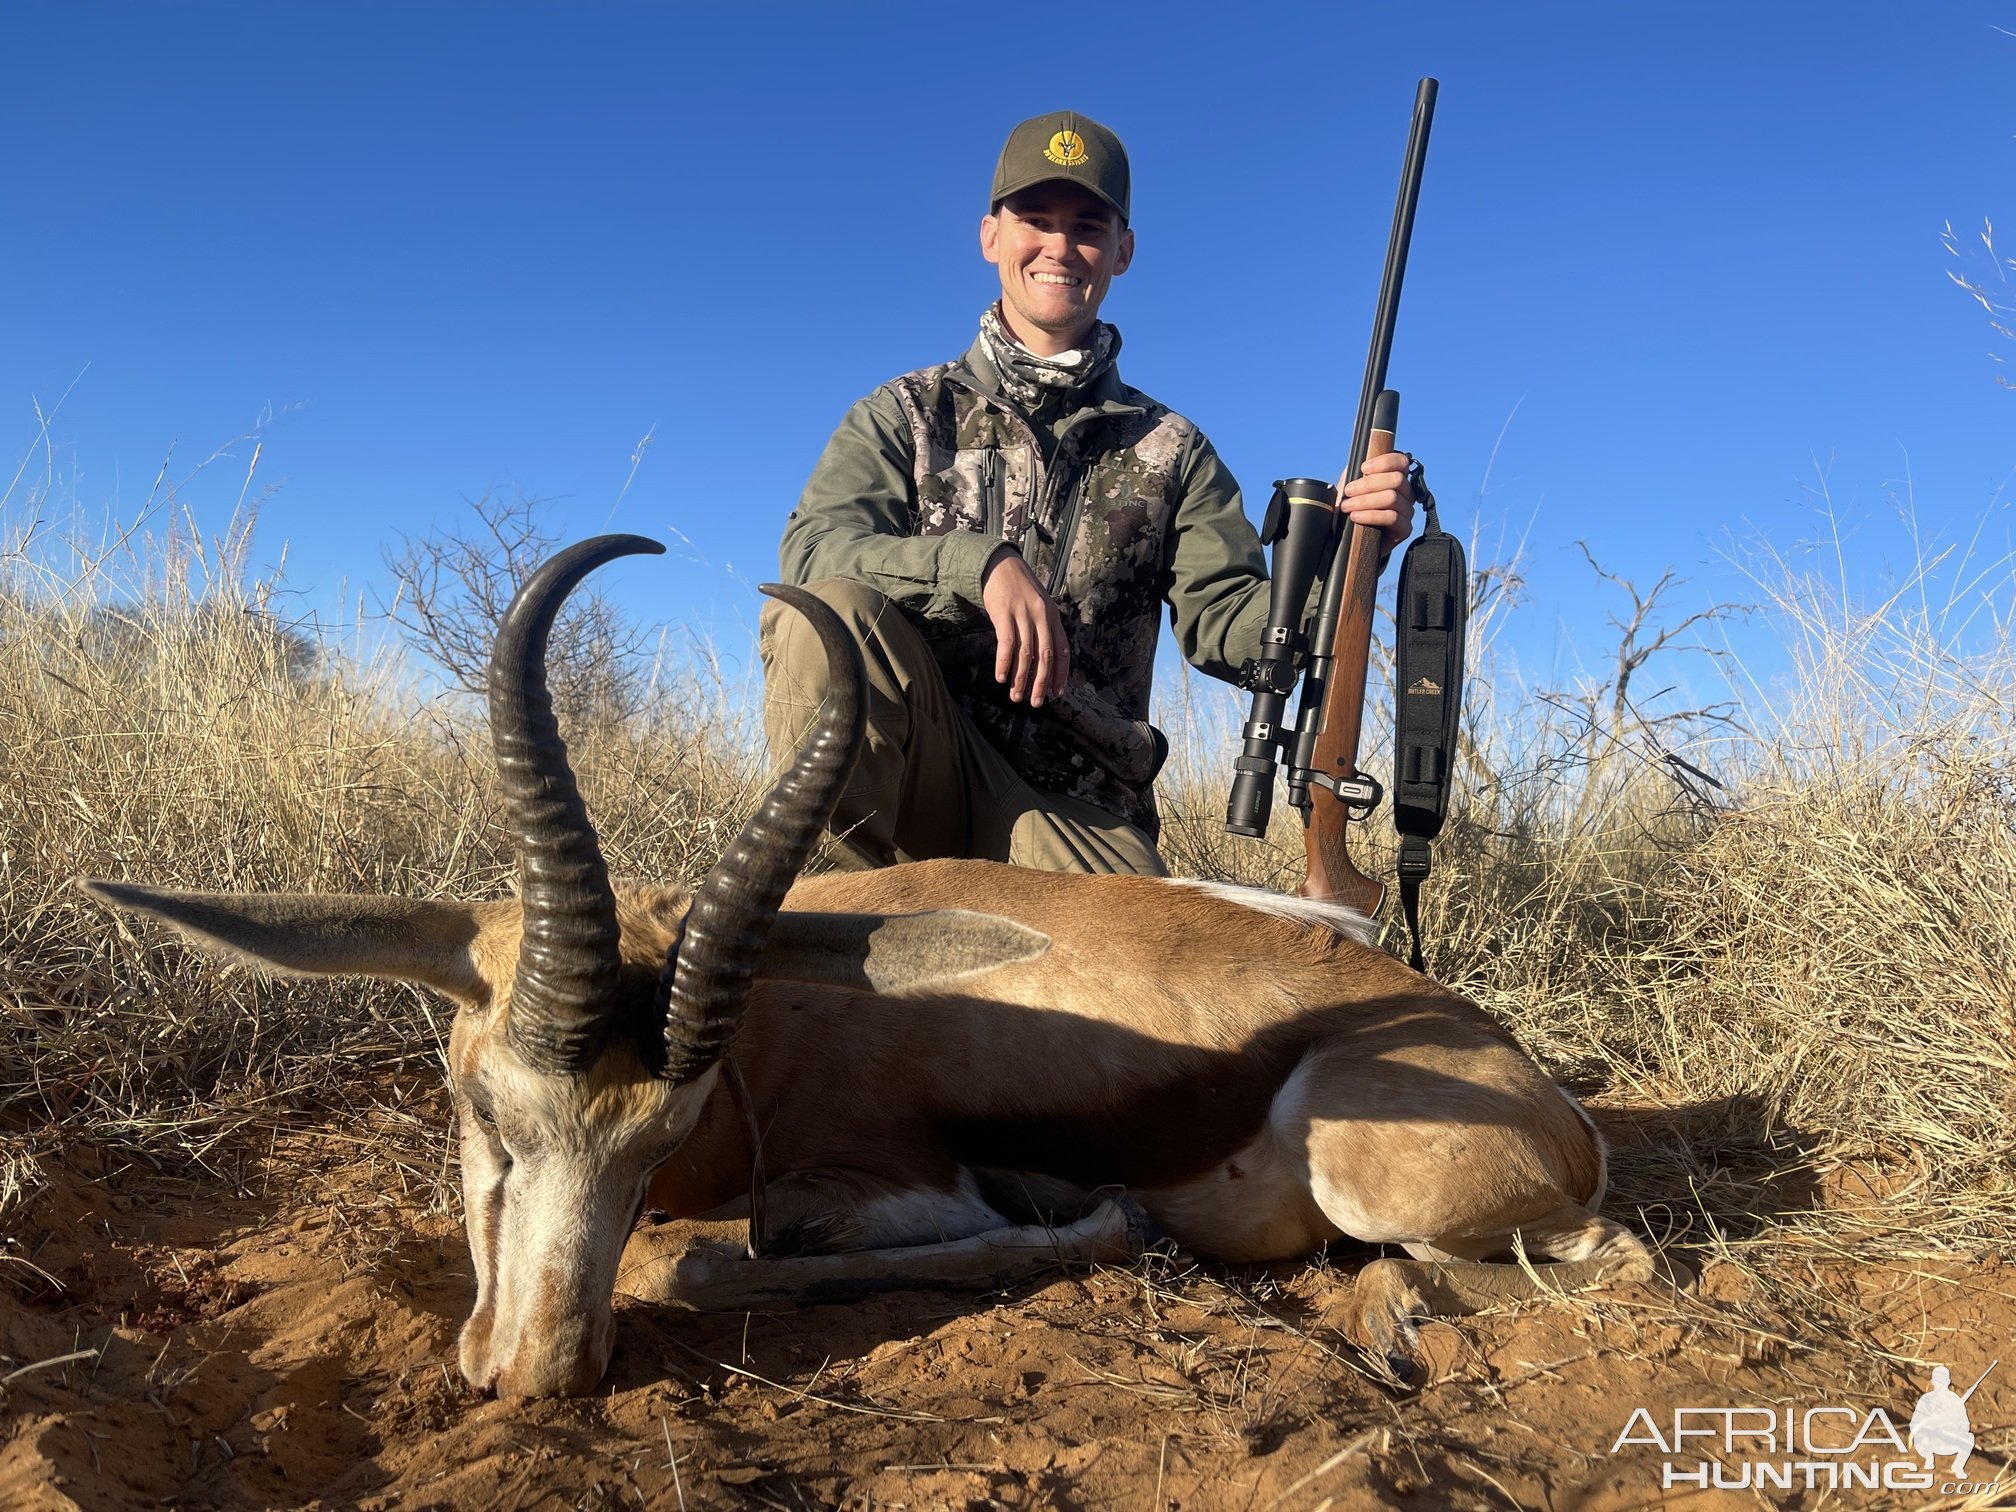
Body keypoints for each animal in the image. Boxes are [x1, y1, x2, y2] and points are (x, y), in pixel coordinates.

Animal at [78, 540, 1653, 1403]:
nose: (534, 1377)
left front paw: (1093, 1226)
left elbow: (714, 1256)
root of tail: (1540, 1091)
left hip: (1370, 1171)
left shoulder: (884, 1184)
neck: (772, 1050)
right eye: (482, 1112)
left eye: (661, 1136)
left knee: (1609, 1264)